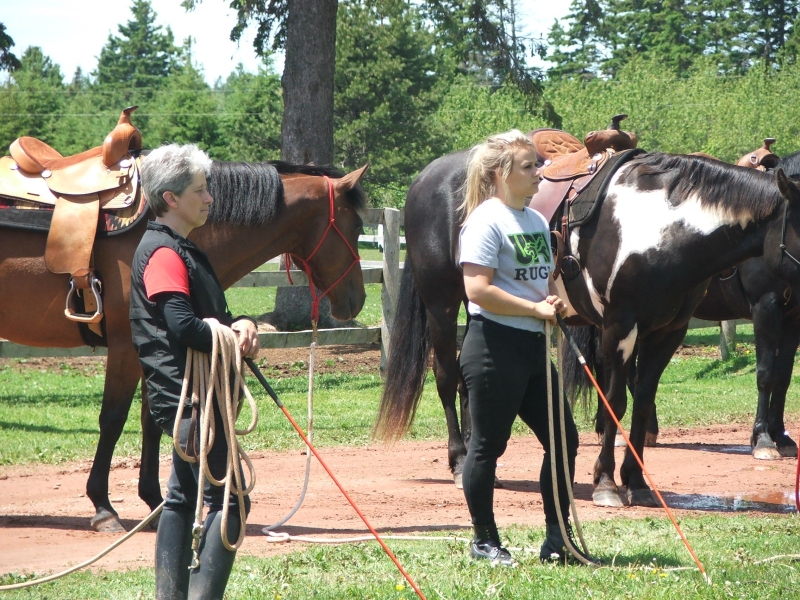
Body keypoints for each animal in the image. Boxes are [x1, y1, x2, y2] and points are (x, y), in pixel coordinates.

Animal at [0, 161, 368, 528]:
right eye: (357, 225)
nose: (358, 299)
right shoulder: (124, 348)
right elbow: (113, 419)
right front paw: (103, 507)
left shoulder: (149, 349)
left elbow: (154, 420)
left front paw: (153, 500)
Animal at [378, 150, 800, 506]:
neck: (663, 227)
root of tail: (426, 178)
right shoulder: (620, 325)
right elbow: (615, 401)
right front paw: (606, 483)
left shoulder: (668, 332)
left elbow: (643, 400)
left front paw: (637, 483)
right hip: (442, 304)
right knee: (447, 377)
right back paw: (457, 460)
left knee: (469, 380)